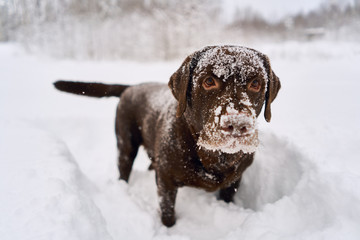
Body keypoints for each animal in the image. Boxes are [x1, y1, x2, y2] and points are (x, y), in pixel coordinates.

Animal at [54, 45, 282, 227]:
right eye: (209, 81)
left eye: (255, 84)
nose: (237, 124)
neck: (213, 156)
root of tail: (132, 87)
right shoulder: (166, 180)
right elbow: (167, 211)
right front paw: (169, 228)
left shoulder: (234, 181)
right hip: (125, 144)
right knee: (124, 169)